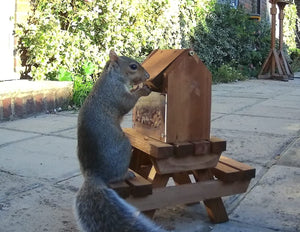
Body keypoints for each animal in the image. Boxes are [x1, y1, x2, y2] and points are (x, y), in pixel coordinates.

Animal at [74, 50, 168, 232]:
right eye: (133, 66)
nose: (148, 76)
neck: (112, 77)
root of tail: (95, 174)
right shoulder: (116, 93)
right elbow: (128, 102)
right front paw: (142, 90)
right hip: (124, 147)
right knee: (115, 177)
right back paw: (127, 174)